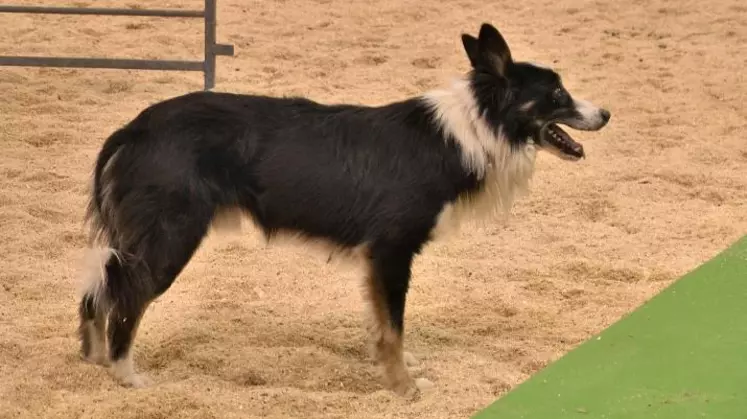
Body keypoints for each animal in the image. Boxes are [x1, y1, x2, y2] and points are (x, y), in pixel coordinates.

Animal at [77, 22, 612, 398]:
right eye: (557, 94)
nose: (606, 113)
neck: (471, 130)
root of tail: (134, 127)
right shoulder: (392, 252)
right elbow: (393, 327)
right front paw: (404, 389)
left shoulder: (380, 260)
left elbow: (384, 325)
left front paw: (399, 373)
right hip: (170, 237)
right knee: (127, 297)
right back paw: (126, 375)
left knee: (97, 290)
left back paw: (95, 362)